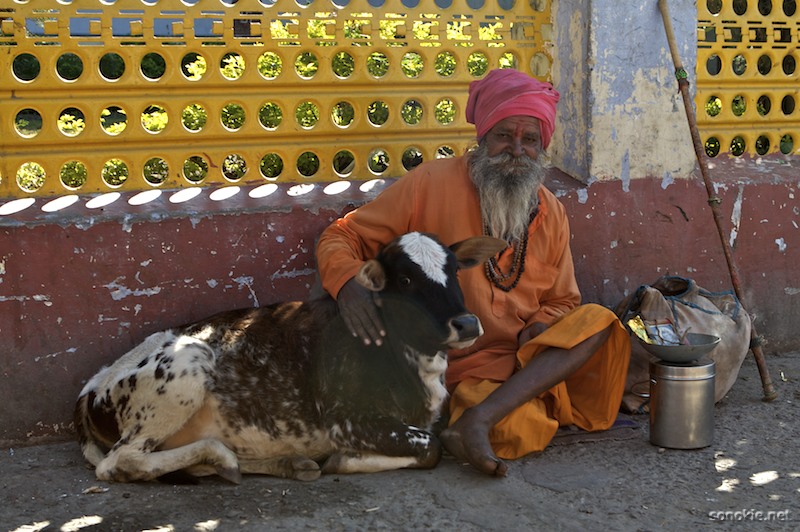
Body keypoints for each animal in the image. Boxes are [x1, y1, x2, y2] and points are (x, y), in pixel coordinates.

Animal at [73, 232, 500, 482]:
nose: (466, 323)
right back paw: (223, 457)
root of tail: (91, 386)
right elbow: (431, 448)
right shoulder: (348, 419)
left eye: (454, 271)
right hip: (188, 362)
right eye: (407, 279)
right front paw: (344, 460)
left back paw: (285, 464)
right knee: (121, 462)